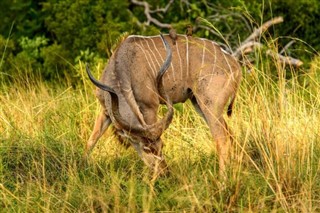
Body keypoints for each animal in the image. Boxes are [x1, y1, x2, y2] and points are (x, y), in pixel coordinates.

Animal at [84, 33, 240, 176]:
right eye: (146, 149)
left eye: (162, 145)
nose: (165, 173)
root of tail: (234, 63)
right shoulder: (106, 111)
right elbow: (91, 140)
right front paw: (82, 167)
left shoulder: (149, 107)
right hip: (198, 103)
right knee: (230, 134)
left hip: (209, 104)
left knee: (222, 139)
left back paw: (222, 180)